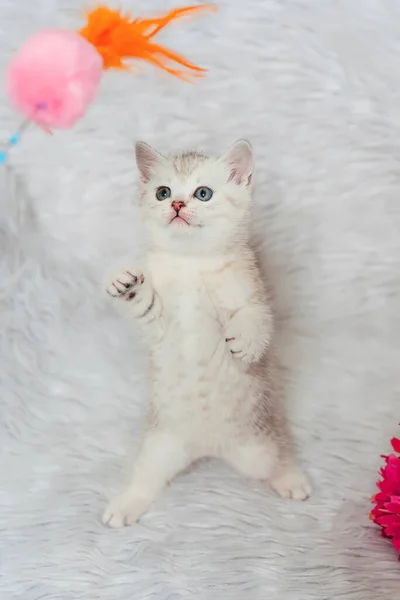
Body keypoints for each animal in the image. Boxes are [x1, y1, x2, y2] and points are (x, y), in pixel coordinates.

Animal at [101, 139, 310, 524]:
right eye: (163, 192)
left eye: (203, 193)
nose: (177, 204)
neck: (190, 264)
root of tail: (208, 447)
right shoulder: (159, 326)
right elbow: (145, 305)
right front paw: (124, 283)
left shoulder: (252, 288)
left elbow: (256, 316)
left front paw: (244, 340)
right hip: (158, 449)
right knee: (145, 479)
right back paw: (125, 505)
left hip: (261, 447)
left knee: (279, 457)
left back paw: (292, 479)